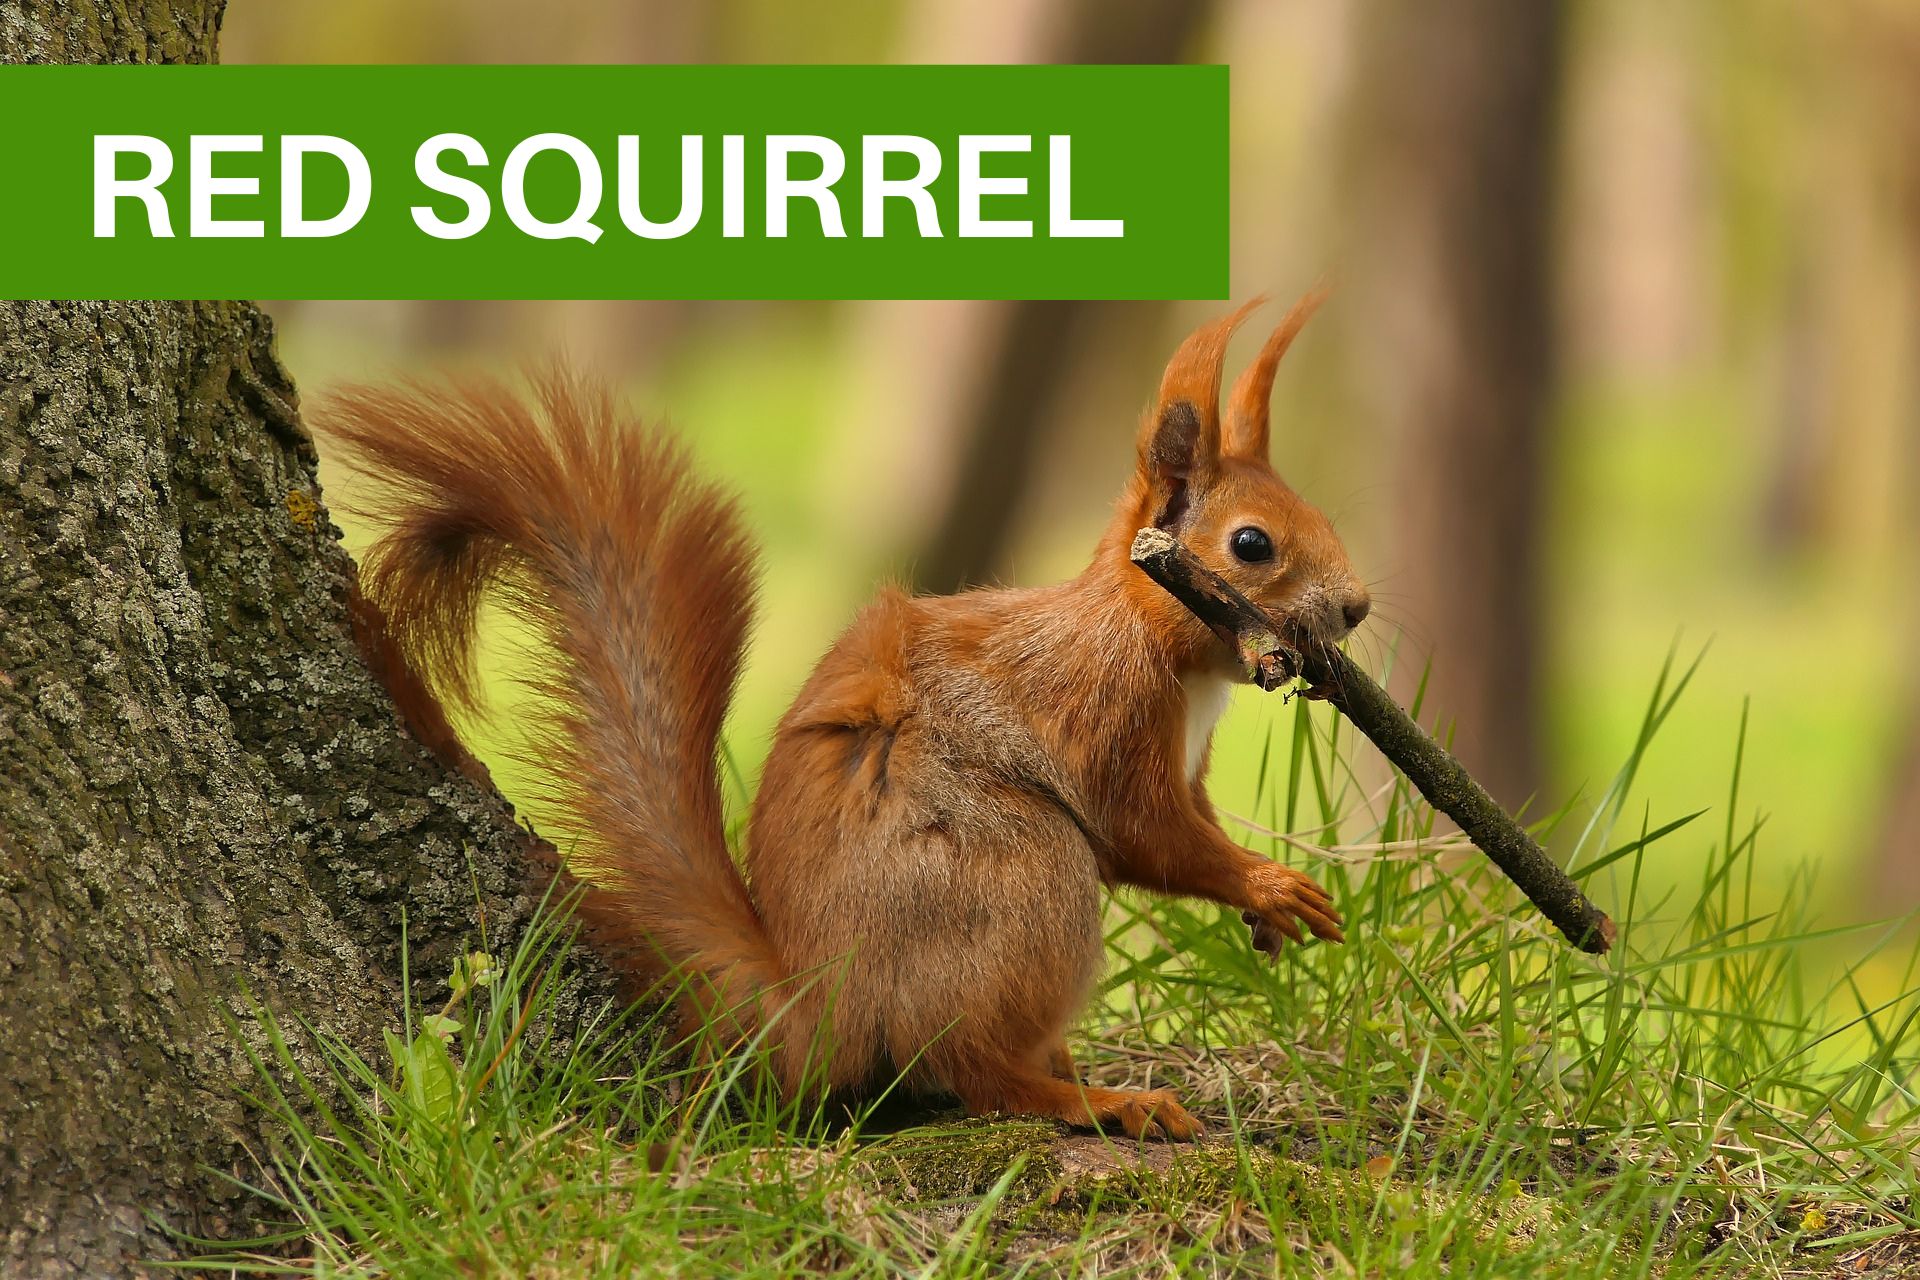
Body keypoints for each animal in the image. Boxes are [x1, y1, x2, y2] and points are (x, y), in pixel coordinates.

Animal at [322, 291, 1368, 1142]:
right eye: (1251, 545)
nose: (1357, 609)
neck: (1159, 641)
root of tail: (821, 1008)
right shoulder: (1102, 709)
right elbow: (1145, 835)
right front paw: (1270, 886)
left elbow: (1186, 825)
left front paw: (1266, 909)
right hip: (1020, 875)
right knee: (973, 1068)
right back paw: (1095, 1099)